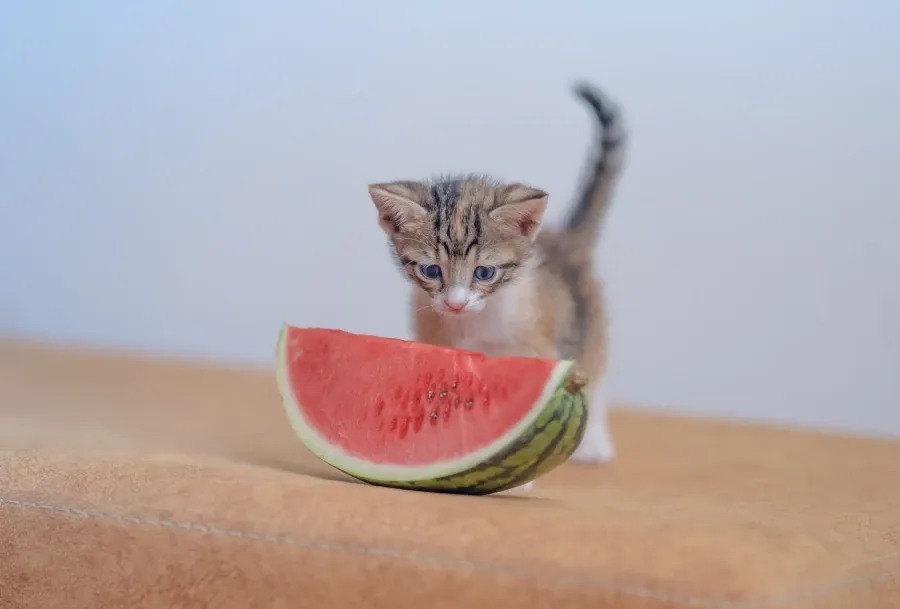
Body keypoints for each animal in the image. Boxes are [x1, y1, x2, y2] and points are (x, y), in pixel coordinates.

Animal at [366, 79, 624, 480]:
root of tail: (566, 238)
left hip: (587, 321)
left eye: (484, 273)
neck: (477, 324)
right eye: (431, 270)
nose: (455, 303)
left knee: (594, 371)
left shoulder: (537, 345)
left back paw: (595, 441)